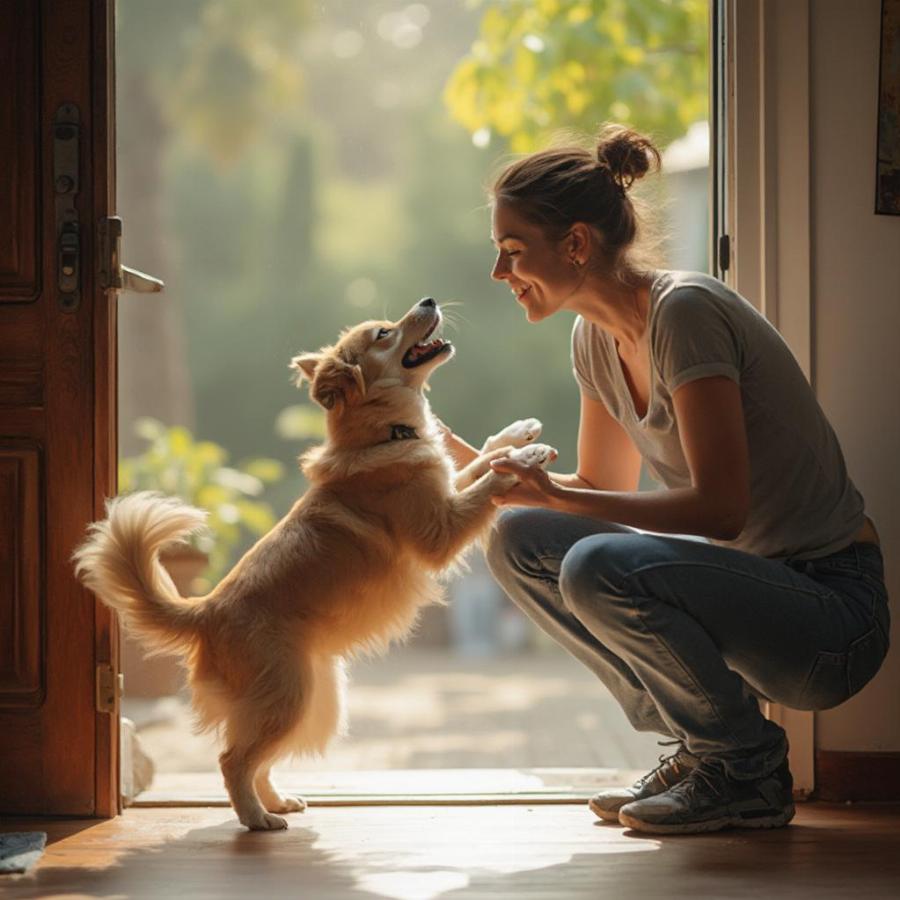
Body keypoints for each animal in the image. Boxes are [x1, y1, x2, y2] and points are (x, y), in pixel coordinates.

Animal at [75, 298, 556, 832]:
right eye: (384, 333)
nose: (428, 300)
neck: (383, 436)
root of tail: (207, 611)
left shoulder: (446, 489)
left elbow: (478, 459)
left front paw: (516, 434)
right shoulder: (442, 529)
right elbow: (487, 481)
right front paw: (523, 457)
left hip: (311, 699)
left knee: (257, 757)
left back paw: (276, 802)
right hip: (290, 697)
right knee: (233, 759)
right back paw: (256, 818)